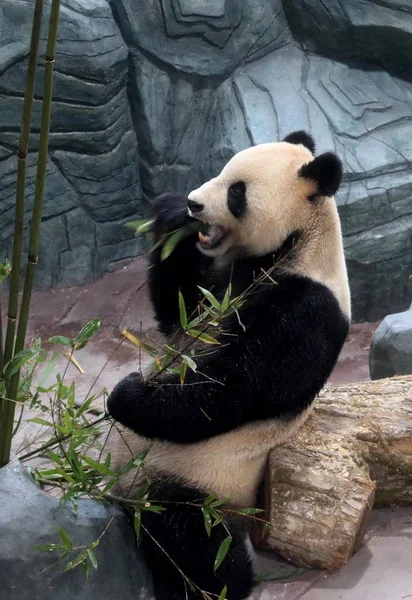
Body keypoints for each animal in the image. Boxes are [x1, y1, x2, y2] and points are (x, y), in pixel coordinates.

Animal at [107, 131, 350, 600]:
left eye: (236, 192)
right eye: (220, 171)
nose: (194, 204)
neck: (299, 241)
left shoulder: (306, 307)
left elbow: (227, 390)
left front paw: (128, 392)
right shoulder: (215, 293)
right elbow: (178, 310)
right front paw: (172, 218)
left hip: (198, 477)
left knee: (186, 535)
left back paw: (223, 578)